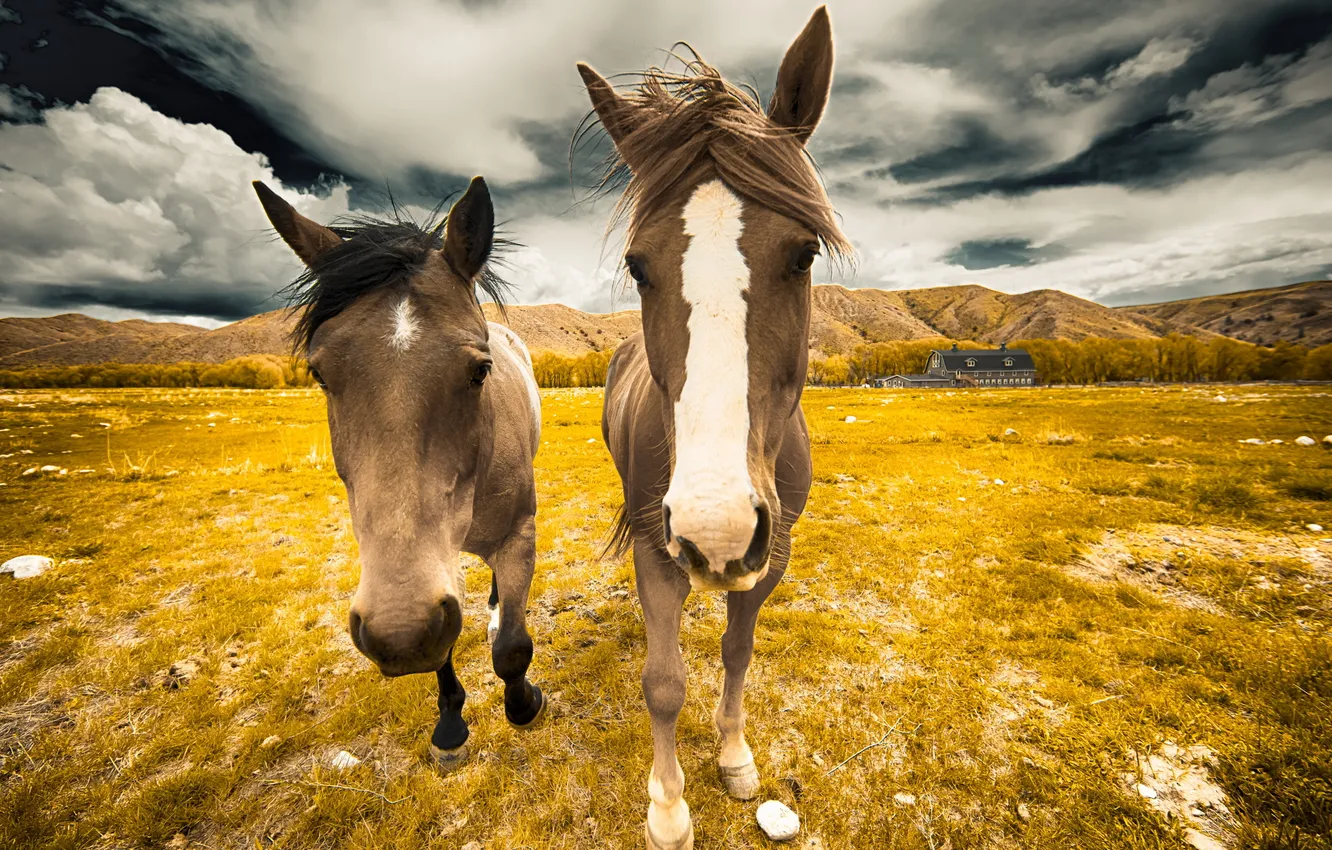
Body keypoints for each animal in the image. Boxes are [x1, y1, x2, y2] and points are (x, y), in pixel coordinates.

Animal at [252, 176, 547, 771]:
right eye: (319, 373)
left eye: (480, 370)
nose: (399, 634)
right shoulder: (432, 572)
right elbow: (445, 648)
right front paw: (451, 723)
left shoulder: (519, 536)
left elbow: (511, 647)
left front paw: (524, 703)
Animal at [577, 7, 849, 848]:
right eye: (639, 266)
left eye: (803, 254)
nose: (716, 531)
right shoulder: (656, 546)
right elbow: (664, 681)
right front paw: (667, 806)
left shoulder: (774, 550)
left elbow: (737, 648)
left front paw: (732, 756)